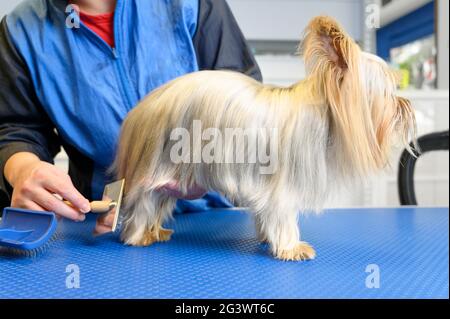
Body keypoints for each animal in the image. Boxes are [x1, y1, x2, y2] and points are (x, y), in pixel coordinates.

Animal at [110, 16, 416, 262]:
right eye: (388, 92)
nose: (406, 106)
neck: (326, 116)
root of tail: (141, 110)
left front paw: (268, 239)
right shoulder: (283, 188)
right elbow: (283, 216)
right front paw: (292, 248)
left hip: (174, 177)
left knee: (158, 202)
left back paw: (156, 231)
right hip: (158, 165)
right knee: (143, 203)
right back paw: (138, 236)